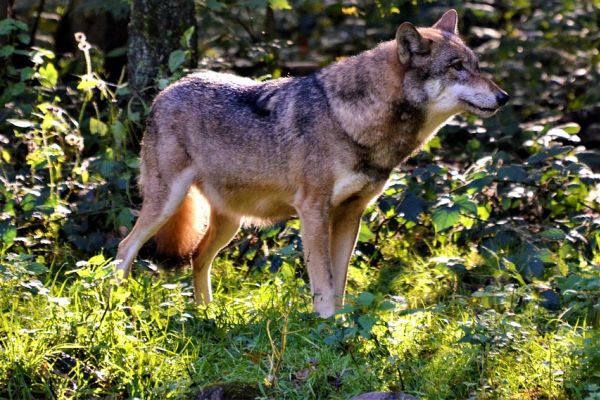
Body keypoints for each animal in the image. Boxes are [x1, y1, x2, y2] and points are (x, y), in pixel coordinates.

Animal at [113, 9, 506, 318]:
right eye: (457, 68)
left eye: (476, 66)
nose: (503, 97)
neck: (351, 121)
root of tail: (166, 90)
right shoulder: (313, 211)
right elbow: (324, 282)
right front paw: (327, 328)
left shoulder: (351, 215)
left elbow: (340, 282)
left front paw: (342, 329)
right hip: (167, 204)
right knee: (125, 248)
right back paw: (115, 307)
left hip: (230, 223)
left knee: (197, 259)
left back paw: (206, 315)